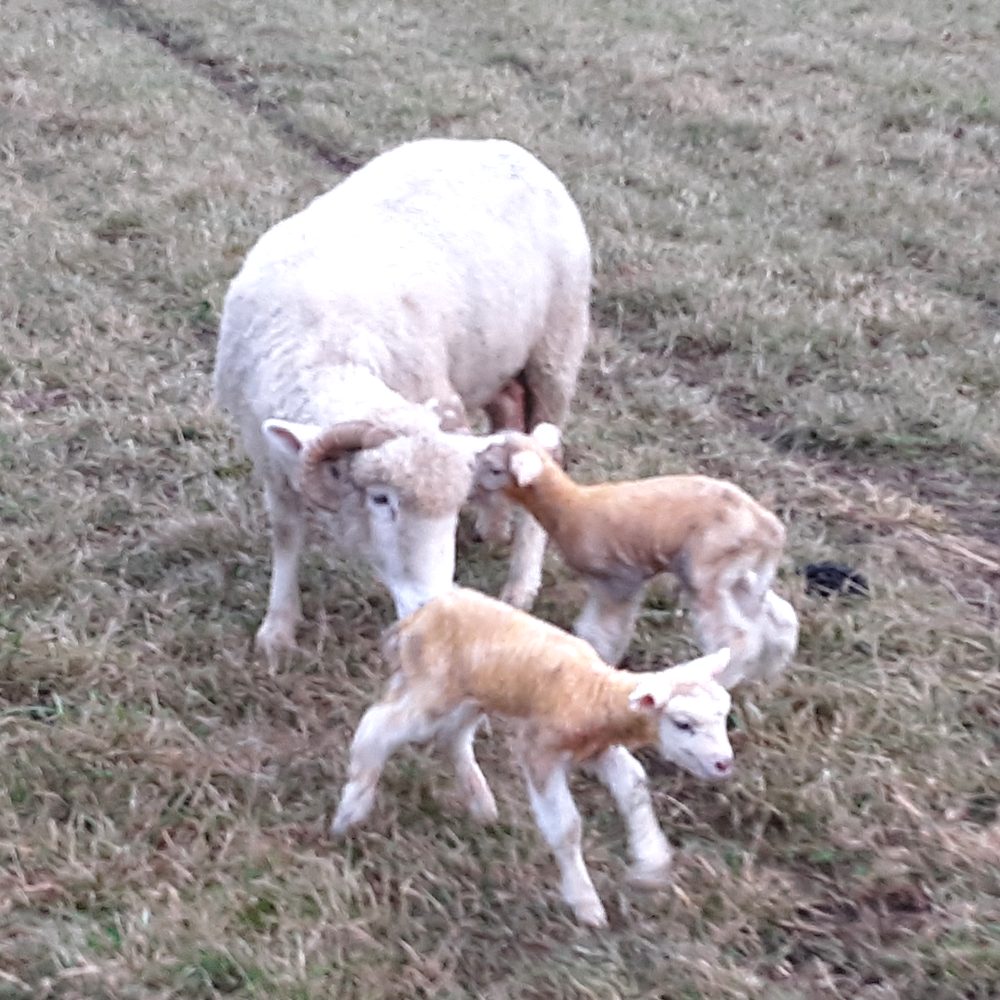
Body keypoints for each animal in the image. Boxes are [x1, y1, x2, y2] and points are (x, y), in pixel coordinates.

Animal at [213, 138, 591, 660]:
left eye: (449, 511)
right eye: (381, 499)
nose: (432, 605)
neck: (330, 349)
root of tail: (507, 148)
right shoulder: (267, 454)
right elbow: (287, 533)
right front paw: (278, 628)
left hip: (557, 348)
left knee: (544, 452)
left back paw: (520, 585)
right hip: (494, 358)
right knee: (506, 414)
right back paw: (494, 525)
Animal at [332, 588, 733, 927]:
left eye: (725, 716)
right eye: (683, 723)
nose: (724, 763)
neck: (593, 693)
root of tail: (416, 619)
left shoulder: (597, 749)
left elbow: (633, 784)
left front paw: (651, 868)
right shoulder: (538, 749)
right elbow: (566, 826)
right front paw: (586, 904)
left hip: (472, 693)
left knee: (451, 735)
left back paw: (481, 804)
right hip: (433, 689)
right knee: (378, 728)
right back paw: (351, 809)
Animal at [471, 425, 799, 687]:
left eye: (495, 469)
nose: (472, 489)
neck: (570, 507)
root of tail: (769, 527)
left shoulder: (618, 580)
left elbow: (600, 630)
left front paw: (598, 660)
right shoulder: (615, 583)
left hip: (705, 574)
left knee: (736, 639)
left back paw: (723, 680)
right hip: (733, 574)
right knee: (780, 617)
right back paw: (767, 672)